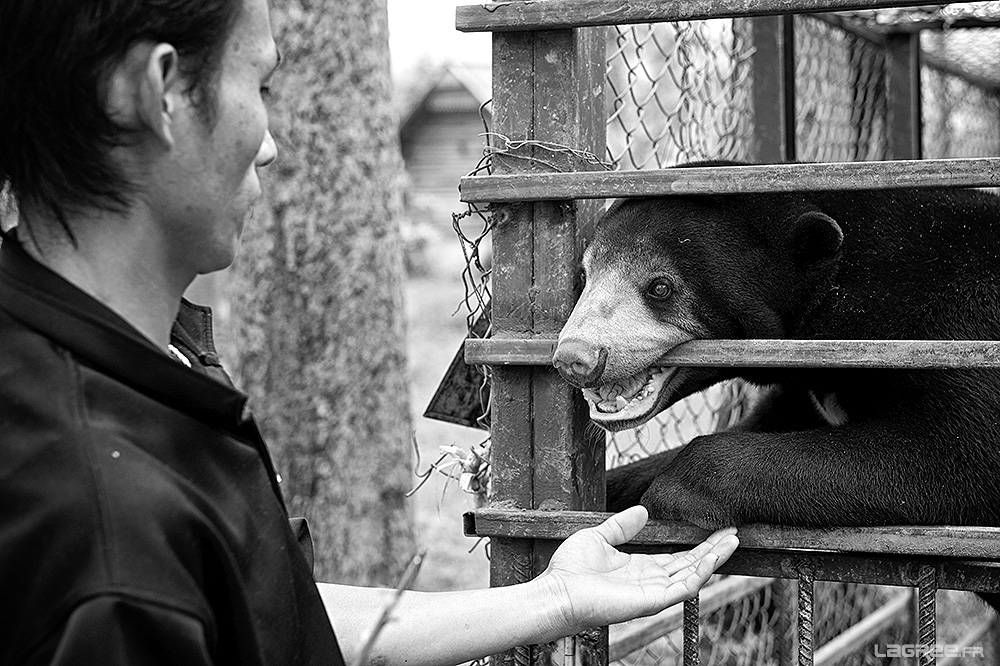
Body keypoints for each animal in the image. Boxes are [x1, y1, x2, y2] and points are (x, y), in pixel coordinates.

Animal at [552, 163, 1000, 532]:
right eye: (585, 277)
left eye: (659, 287)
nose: (576, 359)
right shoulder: (803, 392)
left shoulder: (961, 327)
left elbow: (955, 457)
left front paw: (676, 492)